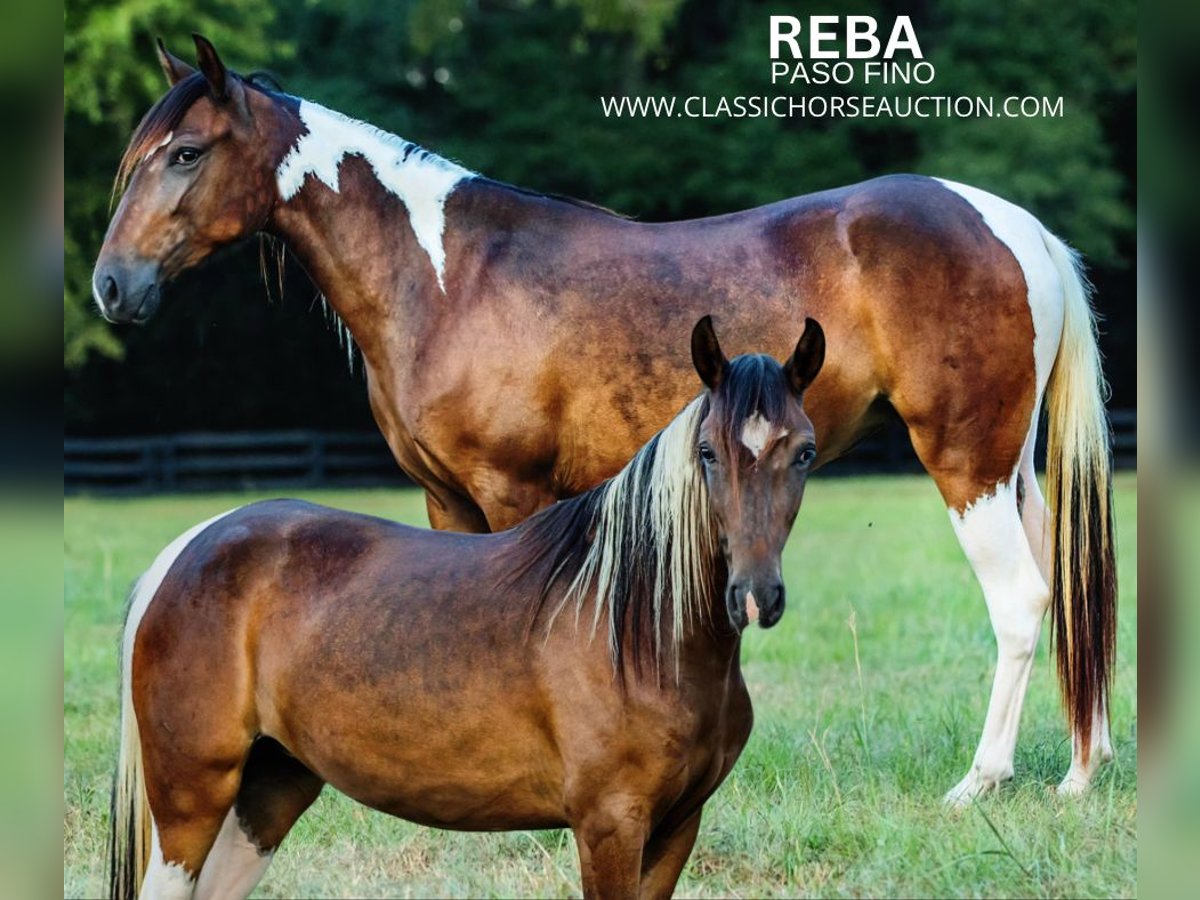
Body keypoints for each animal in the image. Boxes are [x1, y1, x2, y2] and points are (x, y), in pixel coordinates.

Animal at [93, 35, 1113, 801]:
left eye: (186, 153)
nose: (111, 286)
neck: (448, 276)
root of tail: (1013, 225)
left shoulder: (513, 493)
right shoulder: (445, 500)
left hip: (966, 463)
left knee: (1021, 601)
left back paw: (980, 782)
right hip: (1010, 470)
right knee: (1062, 590)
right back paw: (1078, 771)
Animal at [110, 319, 825, 900]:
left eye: (805, 452)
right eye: (707, 452)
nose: (755, 594)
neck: (639, 630)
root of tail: (193, 544)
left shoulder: (678, 826)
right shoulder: (610, 826)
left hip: (268, 789)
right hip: (192, 798)